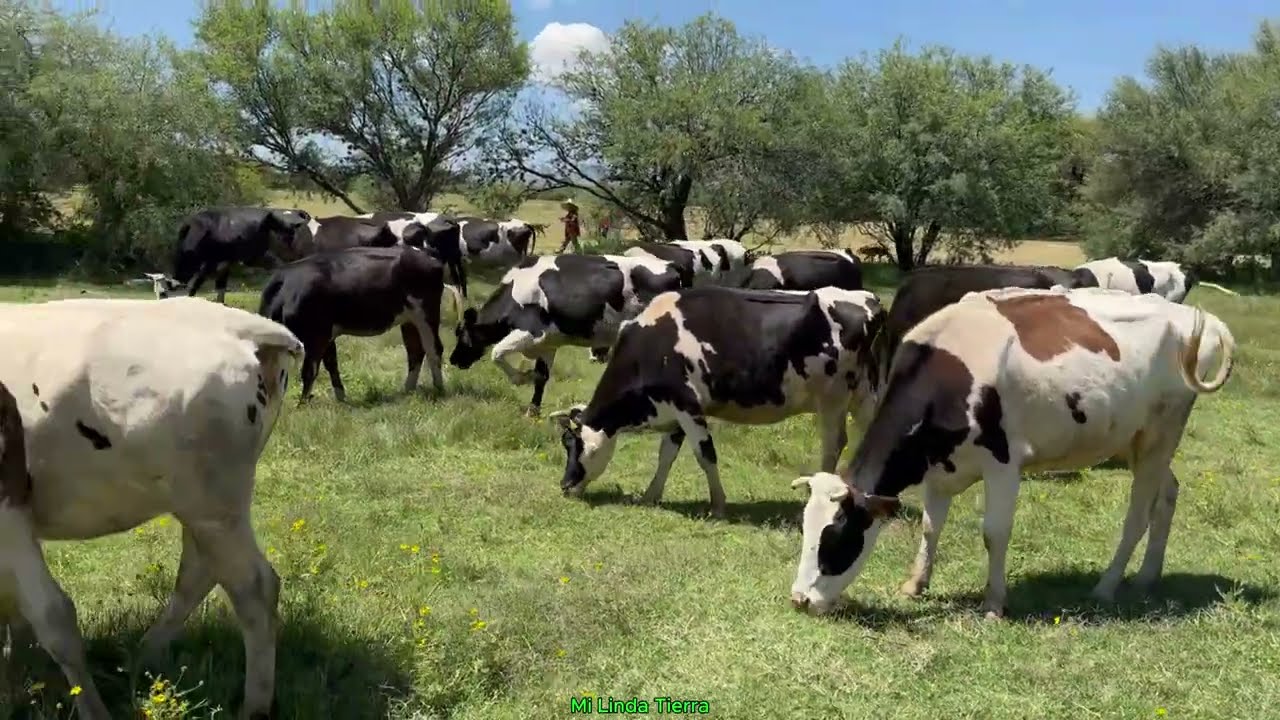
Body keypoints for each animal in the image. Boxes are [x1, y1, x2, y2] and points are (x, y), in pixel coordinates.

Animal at [0, 296, 303, 719]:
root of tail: (243, 327)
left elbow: (50, 615)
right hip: (202, 506)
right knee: (198, 572)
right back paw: (141, 657)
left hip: (212, 504)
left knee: (254, 589)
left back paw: (253, 706)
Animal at [259, 246, 463, 403]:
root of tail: (427, 255)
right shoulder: (327, 335)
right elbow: (331, 364)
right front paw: (341, 398)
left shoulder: (317, 335)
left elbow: (310, 370)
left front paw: (302, 405)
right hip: (409, 319)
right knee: (415, 352)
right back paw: (407, 390)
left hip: (426, 313)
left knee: (434, 349)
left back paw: (439, 389)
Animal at [449, 253, 686, 416]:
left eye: (462, 333)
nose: (453, 359)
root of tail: (672, 265)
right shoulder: (548, 343)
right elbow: (542, 377)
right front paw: (532, 411)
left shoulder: (532, 332)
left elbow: (496, 353)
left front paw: (522, 378)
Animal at [548, 285, 886, 518]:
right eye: (566, 444)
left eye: (577, 446)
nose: (564, 485)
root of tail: (868, 299)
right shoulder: (675, 409)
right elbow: (666, 455)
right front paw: (650, 496)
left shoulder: (687, 405)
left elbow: (705, 455)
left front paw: (718, 506)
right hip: (863, 394)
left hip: (833, 396)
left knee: (833, 443)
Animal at [787, 285, 1235, 618]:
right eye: (806, 530)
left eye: (835, 537)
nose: (800, 600)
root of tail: (1192, 316)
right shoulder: (939, 467)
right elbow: (931, 527)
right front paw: (915, 585)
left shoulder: (1003, 464)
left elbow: (994, 533)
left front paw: (994, 603)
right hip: (1136, 442)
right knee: (1169, 493)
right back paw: (1146, 577)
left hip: (1161, 435)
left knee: (1138, 515)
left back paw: (1106, 586)